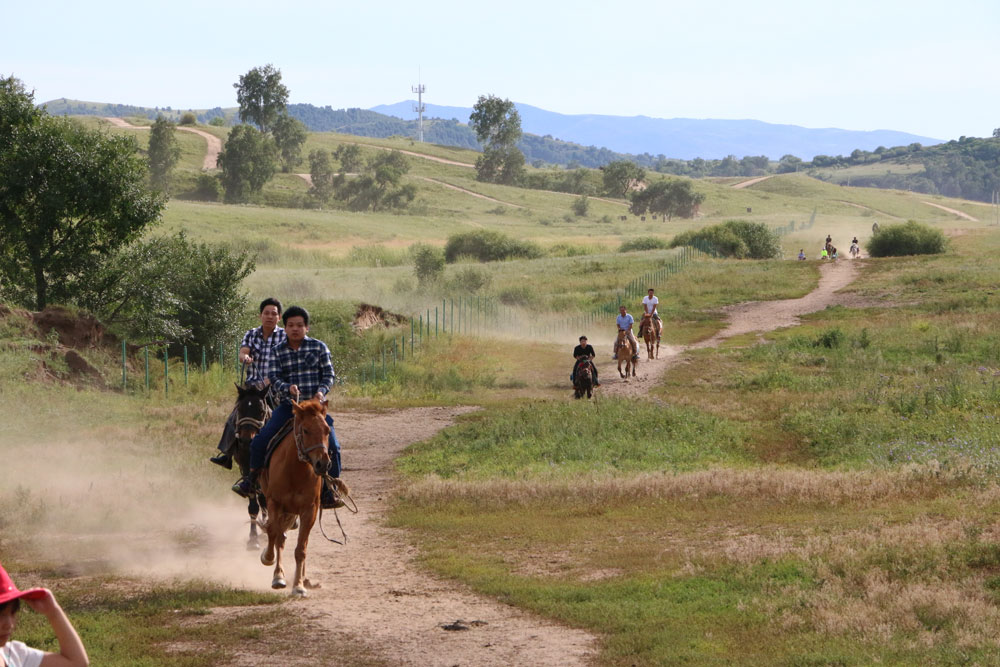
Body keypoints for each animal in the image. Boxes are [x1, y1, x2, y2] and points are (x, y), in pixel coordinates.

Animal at [258, 400, 332, 596]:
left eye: (327, 430)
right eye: (305, 430)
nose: (323, 464)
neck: (295, 470)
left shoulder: (309, 510)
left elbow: (301, 548)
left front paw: (298, 586)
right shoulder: (274, 503)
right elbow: (274, 535)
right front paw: (275, 572)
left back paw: (304, 580)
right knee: (278, 535)